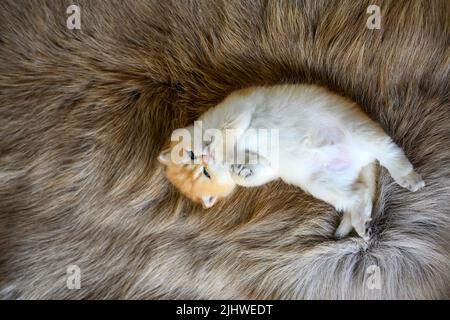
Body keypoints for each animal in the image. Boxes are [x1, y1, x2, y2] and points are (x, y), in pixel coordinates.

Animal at [159, 84, 426, 239]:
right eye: (205, 172)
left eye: (196, 162)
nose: (205, 158)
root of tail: (361, 160)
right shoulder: (270, 168)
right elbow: (250, 172)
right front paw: (241, 169)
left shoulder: (236, 110)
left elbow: (223, 135)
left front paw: (223, 152)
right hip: (322, 183)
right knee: (359, 195)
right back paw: (362, 225)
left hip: (359, 132)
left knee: (390, 153)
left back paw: (407, 177)